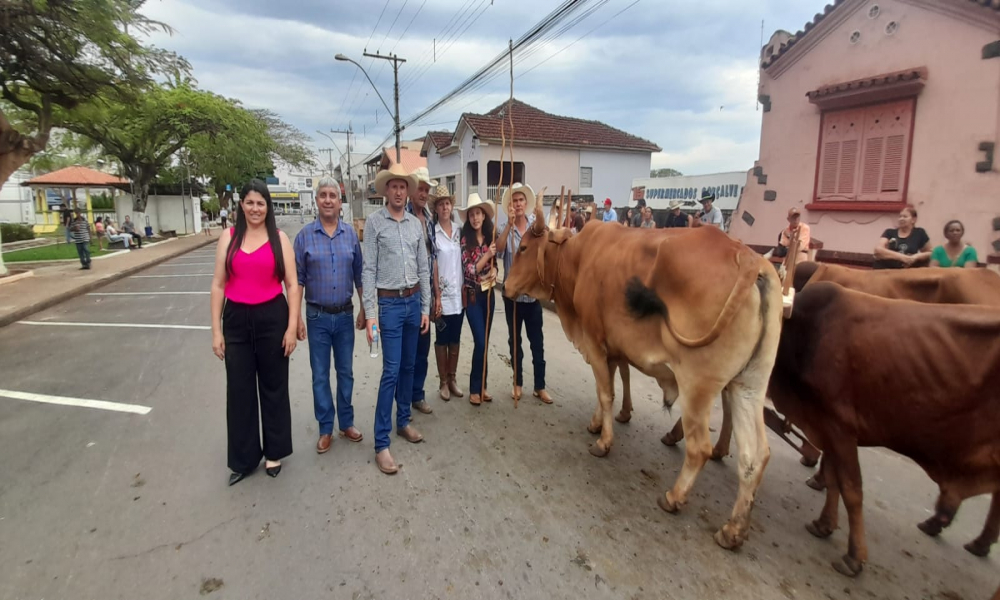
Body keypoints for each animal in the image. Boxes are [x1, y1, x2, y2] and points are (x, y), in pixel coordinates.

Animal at [504, 198, 784, 548]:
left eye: (524, 247)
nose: (505, 286)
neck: (579, 259)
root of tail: (749, 258)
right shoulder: (611, 347)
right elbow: (610, 385)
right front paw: (598, 423)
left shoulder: (595, 341)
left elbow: (606, 392)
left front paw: (603, 441)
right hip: (748, 387)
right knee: (754, 456)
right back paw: (734, 529)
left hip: (698, 386)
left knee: (700, 448)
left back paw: (674, 496)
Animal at [768, 284, 1000, 580]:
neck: (806, 329)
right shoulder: (826, 424)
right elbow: (833, 478)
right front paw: (824, 524)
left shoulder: (839, 425)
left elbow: (852, 490)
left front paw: (854, 556)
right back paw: (972, 539)